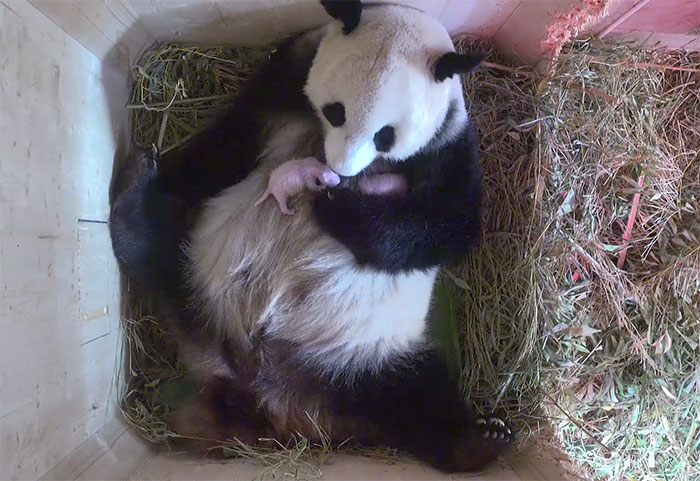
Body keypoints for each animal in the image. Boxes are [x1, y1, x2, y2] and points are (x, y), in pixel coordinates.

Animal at [110, 0, 516, 472]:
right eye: (337, 111)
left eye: (386, 135)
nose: (338, 171)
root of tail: (260, 389)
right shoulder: (284, 80)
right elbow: (228, 142)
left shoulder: (448, 145)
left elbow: (446, 225)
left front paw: (337, 206)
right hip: (202, 271)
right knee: (160, 250)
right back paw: (136, 194)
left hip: (363, 357)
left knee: (418, 402)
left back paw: (478, 439)